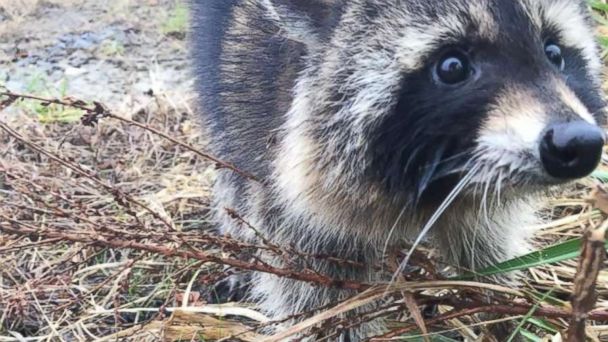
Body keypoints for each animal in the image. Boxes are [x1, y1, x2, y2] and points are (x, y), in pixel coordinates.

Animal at [189, 0, 604, 340]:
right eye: (452, 66)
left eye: (554, 52)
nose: (578, 143)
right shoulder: (283, 172)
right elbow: (318, 291)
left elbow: (487, 244)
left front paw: (501, 310)